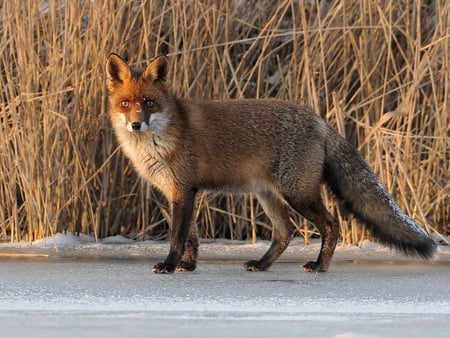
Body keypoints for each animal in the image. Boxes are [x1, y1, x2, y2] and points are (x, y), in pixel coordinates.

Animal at [104, 53, 436, 274]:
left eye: (149, 103)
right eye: (126, 104)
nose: (135, 125)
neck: (160, 140)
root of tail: (318, 120)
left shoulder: (183, 190)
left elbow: (177, 236)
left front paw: (170, 265)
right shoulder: (182, 192)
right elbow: (192, 237)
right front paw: (188, 265)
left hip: (297, 194)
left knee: (331, 225)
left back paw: (319, 265)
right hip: (268, 194)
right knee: (286, 232)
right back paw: (262, 264)